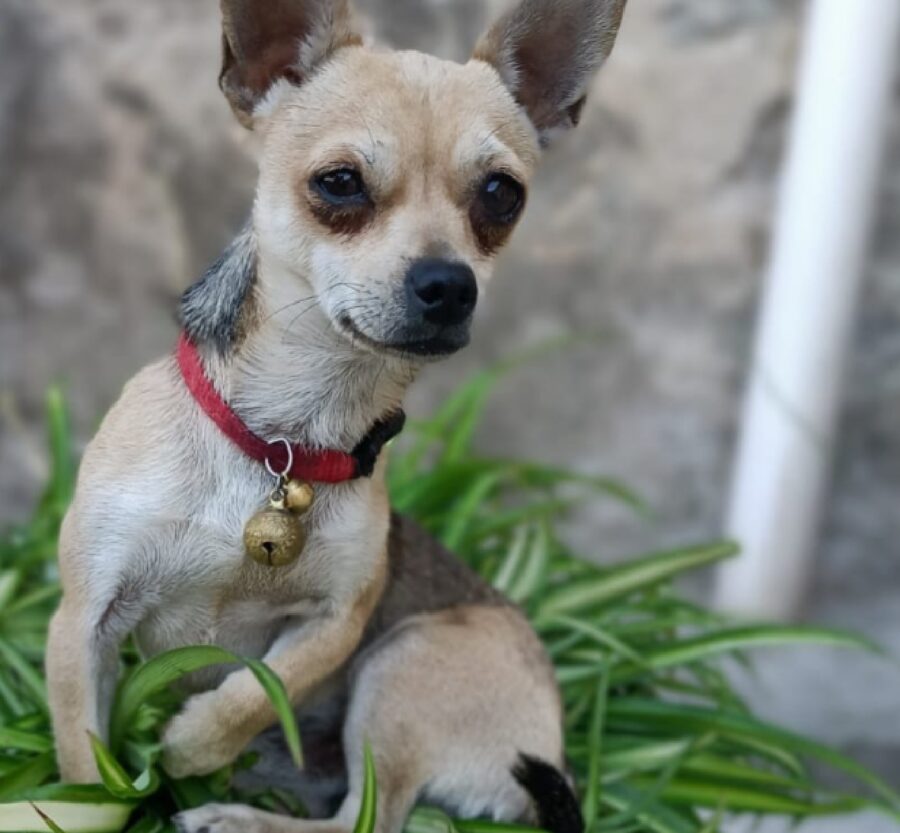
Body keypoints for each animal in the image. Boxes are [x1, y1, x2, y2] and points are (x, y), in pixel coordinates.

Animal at [47, 1, 624, 832]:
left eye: (501, 195)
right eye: (341, 182)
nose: (450, 284)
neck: (284, 438)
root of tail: (557, 754)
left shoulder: (340, 621)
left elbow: (261, 689)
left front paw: (190, 743)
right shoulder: (82, 620)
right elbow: (81, 764)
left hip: (402, 665)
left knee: (366, 815)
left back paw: (234, 814)